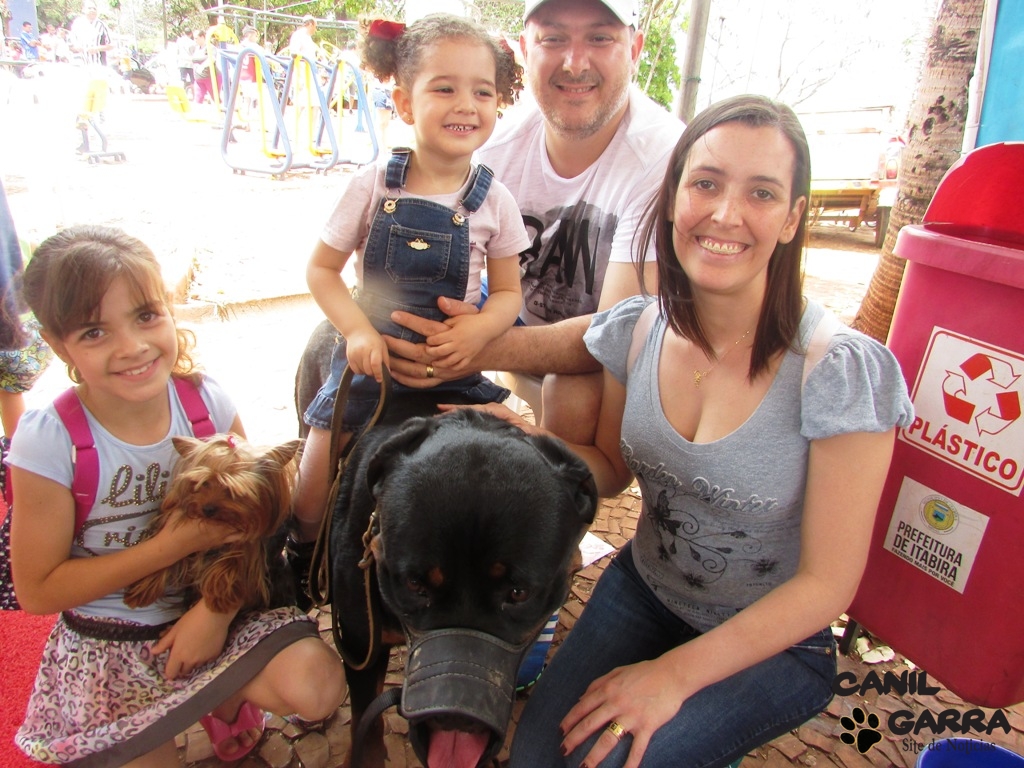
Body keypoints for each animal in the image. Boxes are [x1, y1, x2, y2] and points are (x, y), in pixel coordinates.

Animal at [124, 434, 302, 614]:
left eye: (233, 490)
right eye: (204, 483)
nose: (207, 509)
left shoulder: (256, 538)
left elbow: (237, 556)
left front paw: (220, 595)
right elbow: (168, 554)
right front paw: (144, 588)